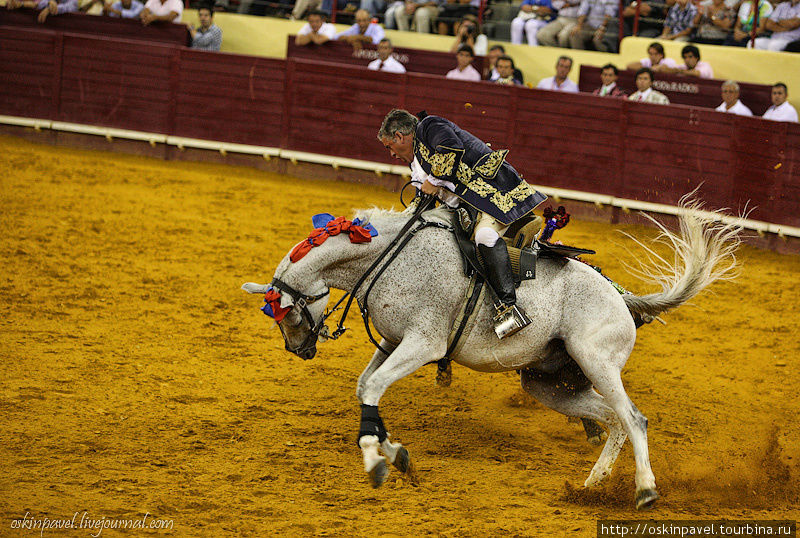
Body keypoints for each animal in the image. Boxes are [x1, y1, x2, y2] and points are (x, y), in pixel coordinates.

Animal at [241, 197, 740, 506]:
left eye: (287, 312)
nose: (299, 350)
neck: (388, 256)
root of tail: (624, 298)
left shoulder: (423, 343)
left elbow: (374, 387)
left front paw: (376, 461)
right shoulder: (393, 342)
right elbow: (367, 386)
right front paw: (394, 452)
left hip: (597, 362)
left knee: (634, 418)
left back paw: (645, 491)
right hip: (548, 385)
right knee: (613, 421)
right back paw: (590, 487)